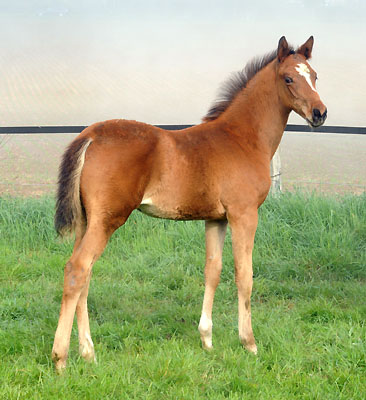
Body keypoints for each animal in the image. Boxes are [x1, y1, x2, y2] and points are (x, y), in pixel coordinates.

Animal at [50, 36, 326, 372]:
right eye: (288, 78)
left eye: (314, 76)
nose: (320, 113)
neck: (242, 138)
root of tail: (89, 135)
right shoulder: (244, 214)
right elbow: (244, 274)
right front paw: (249, 343)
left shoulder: (216, 218)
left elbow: (213, 270)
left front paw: (207, 340)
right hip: (107, 219)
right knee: (77, 270)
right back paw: (61, 359)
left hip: (87, 220)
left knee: (84, 275)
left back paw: (88, 352)